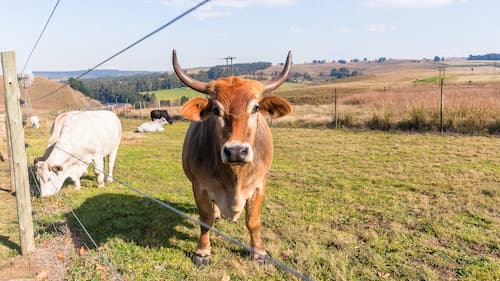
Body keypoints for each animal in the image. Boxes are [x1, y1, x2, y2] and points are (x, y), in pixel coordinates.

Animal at [175, 49, 292, 264]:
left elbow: (253, 221)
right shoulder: (199, 186)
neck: (234, 176)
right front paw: (202, 252)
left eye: (255, 108)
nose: (236, 151)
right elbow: (205, 220)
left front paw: (258, 252)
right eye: (215, 110)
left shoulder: (259, 184)